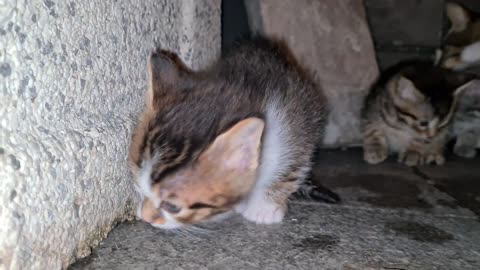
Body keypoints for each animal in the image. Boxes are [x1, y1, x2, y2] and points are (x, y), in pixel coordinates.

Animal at [129, 37, 328, 229]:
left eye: (172, 206)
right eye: (138, 186)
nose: (145, 218)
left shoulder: (295, 122)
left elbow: (294, 164)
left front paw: (266, 207)